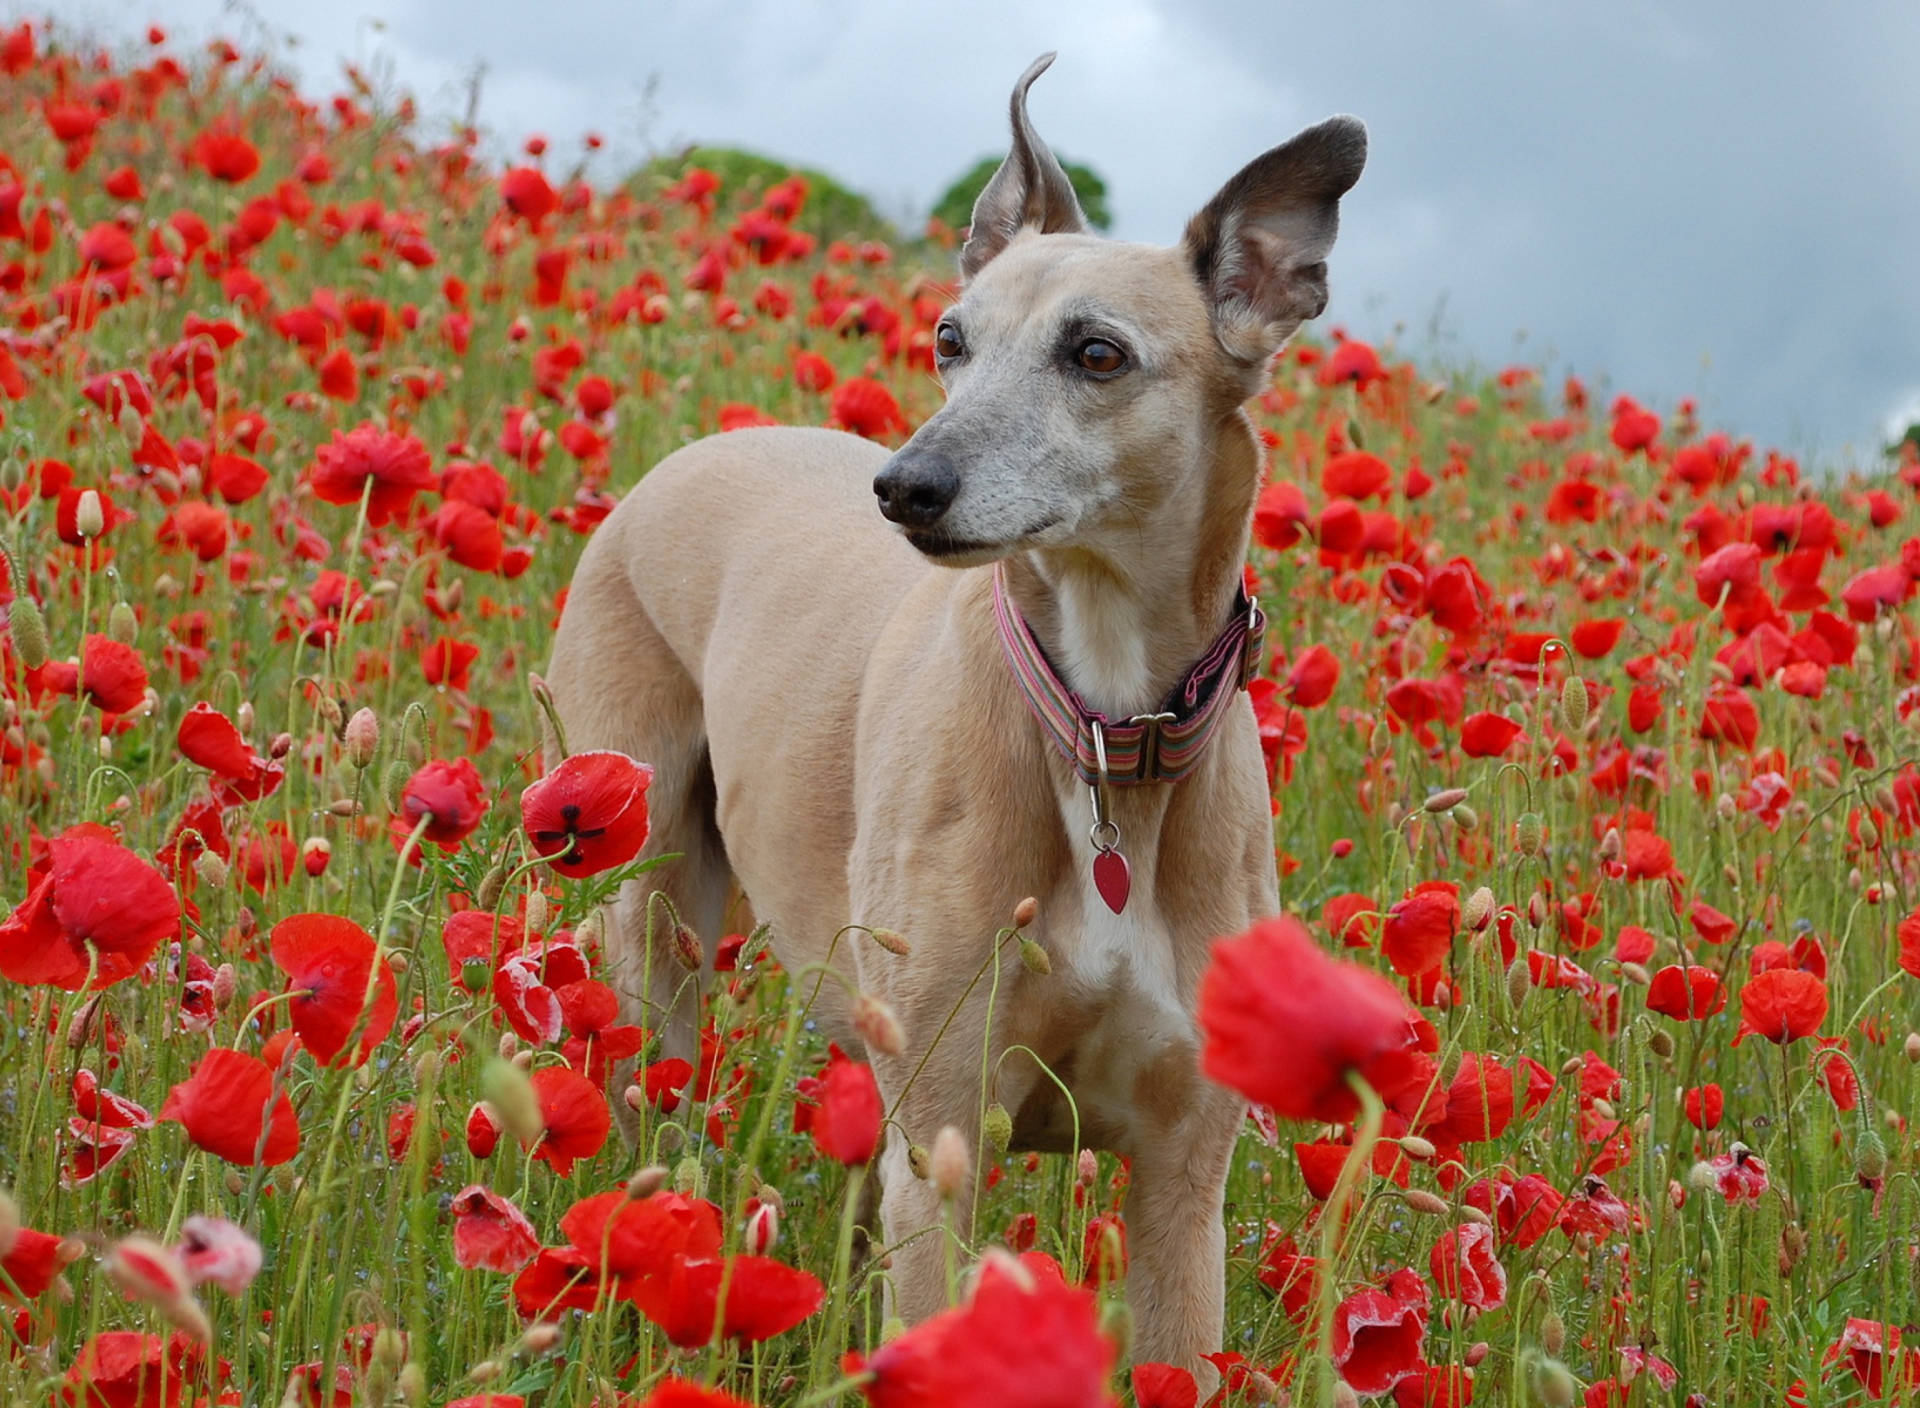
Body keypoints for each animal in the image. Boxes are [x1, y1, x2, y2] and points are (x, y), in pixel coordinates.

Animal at [549, 54, 1367, 1375]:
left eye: (1098, 353)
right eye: (950, 338)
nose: (904, 487)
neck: (1104, 735)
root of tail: (684, 459)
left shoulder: (1183, 1181)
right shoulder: (944, 1143)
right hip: (647, 913)